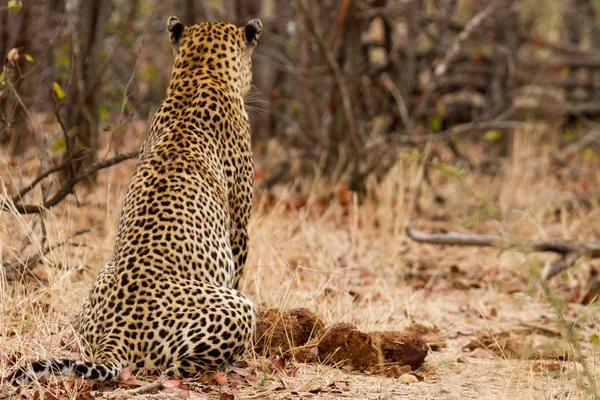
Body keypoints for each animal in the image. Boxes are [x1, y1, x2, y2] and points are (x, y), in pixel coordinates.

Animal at [8, 16, 262, 384]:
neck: (197, 75)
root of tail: (117, 333)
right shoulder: (239, 224)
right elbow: (239, 264)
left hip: (101, 277)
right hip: (238, 306)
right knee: (177, 365)